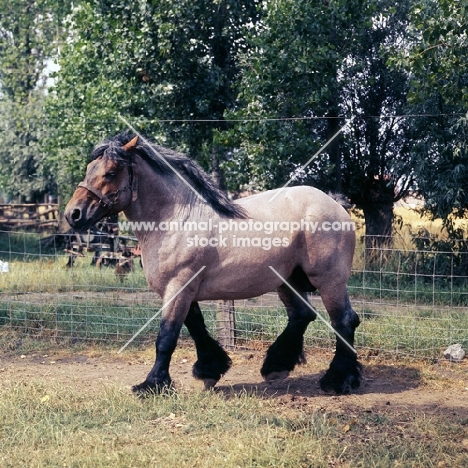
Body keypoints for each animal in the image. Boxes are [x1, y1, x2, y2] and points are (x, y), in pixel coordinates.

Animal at [63, 132, 362, 394]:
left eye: (111, 172)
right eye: (89, 168)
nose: (73, 214)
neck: (174, 219)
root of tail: (335, 204)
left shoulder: (179, 286)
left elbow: (167, 336)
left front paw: (152, 384)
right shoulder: (184, 290)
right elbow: (196, 327)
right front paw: (210, 369)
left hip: (329, 280)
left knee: (343, 321)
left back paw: (337, 380)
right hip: (288, 280)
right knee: (303, 315)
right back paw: (279, 366)